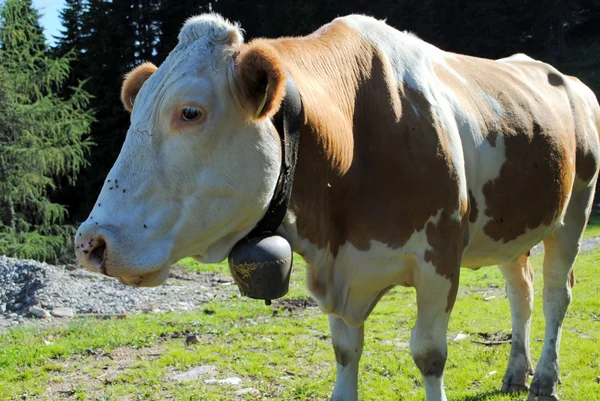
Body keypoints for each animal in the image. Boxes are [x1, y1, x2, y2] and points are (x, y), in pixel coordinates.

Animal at [76, 12, 600, 400]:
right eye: (134, 112)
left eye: (190, 112)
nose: (89, 243)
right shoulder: (338, 265)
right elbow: (346, 350)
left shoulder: (439, 260)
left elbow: (429, 353)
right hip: (512, 229)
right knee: (520, 293)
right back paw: (515, 373)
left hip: (575, 211)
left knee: (555, 295)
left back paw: (545, 379)